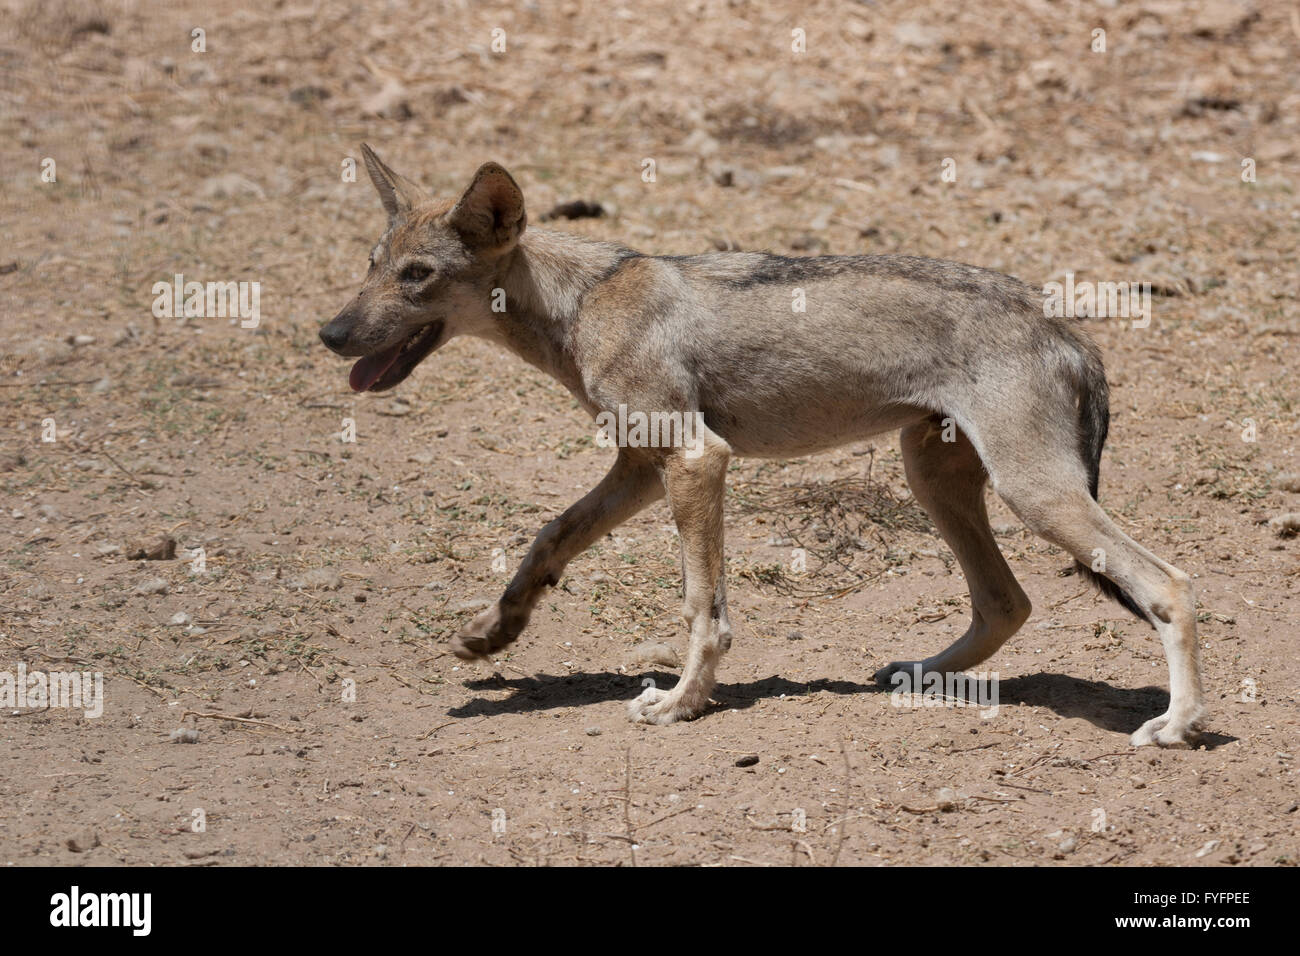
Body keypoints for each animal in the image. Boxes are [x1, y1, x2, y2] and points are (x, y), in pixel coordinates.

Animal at [317, 147, 1206, 749]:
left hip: (1034, 494)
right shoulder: (641, 469)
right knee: (1006, 601)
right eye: (370, 266)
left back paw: (1180, 724)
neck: (581, 302)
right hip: (938, 479)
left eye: (417, 276)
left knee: (1167, 583)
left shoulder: (695, 462)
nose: (329, 333)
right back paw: (918, 675)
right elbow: (547, 539)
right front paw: (491, 632)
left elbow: (702, 611)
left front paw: (681, 703)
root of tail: (1065, 323)